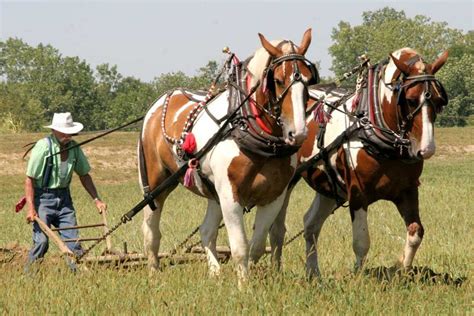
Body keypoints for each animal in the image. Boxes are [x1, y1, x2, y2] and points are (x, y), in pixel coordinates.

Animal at [140, 28, 318, 282]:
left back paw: (215, 273)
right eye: (277, 80)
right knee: (151, 228)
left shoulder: (274, 196)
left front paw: (249, 274)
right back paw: (154, 271)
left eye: (308, 80)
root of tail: (160, 102)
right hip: (156, 183)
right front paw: (244, 285)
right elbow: (240, 246)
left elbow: (256, 245)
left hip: (212, 193)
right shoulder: (230, 196)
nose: (299, 133)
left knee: (206, 231)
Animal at [270, 47, 448, 278]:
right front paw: (358, 277)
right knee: (277, 228)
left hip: (330, 187)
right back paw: (275, 269)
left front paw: (402, 270)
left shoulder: (407, 191)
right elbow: (361, 242)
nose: (426, 149)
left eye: (439, 100)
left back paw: (313, 273)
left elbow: (416, 232)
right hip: (290, 180)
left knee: (311, 225)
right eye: (409, 100)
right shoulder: (358, 194)